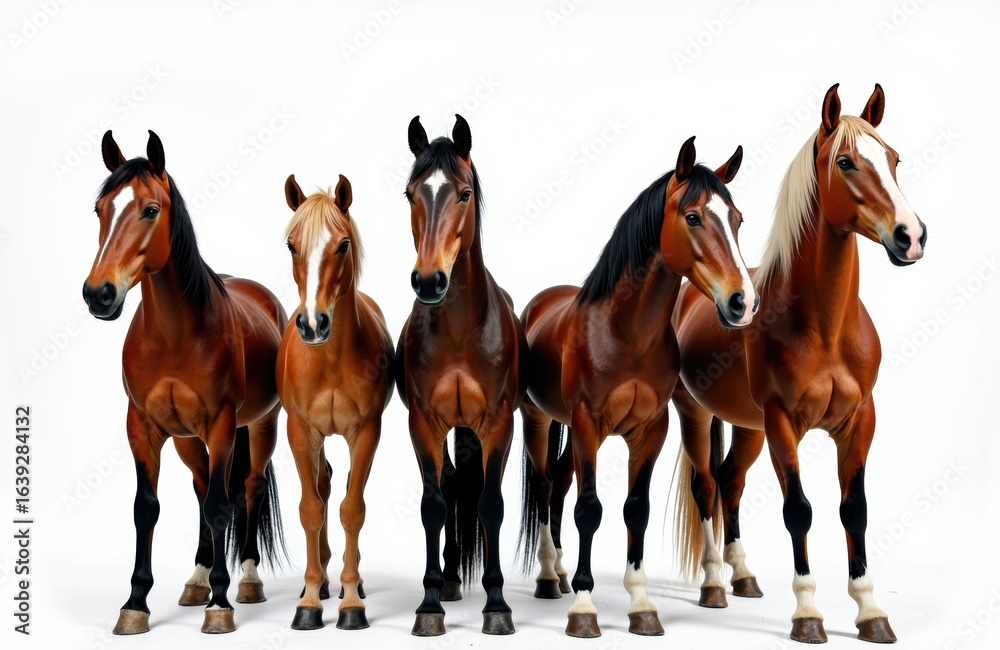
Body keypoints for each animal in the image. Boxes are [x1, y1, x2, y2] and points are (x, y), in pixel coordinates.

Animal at [82, 130, 287, 635]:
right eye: (100, 209)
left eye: (151, 209)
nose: (99, 294)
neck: (175, 337)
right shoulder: (143, 427)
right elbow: (148, 508)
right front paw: (136, 603)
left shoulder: (221, 424)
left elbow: (220, 507)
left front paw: (221, 603)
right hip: (188, 440)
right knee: (201, 490)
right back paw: (197, 579)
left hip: (260, 427)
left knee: (247, 490)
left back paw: (246, 579)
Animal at [275, 174, 394, 631]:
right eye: (291, 245)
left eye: (343, 244)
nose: (312, 324)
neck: (328, 359)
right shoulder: (300, 431)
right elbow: (312, 509)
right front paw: (309, 601)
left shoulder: (366, 432)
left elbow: (351, 510)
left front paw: (352, 602)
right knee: (323, 485)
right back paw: (324, 579)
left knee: (341, 492)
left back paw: (348, 580)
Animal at [394, 114, 527, 637]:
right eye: (411, 193)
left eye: (464, 193)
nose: (429, 280)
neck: (457, 332)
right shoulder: (423, 423)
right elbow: (433, 504)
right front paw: (429, 604)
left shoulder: (499, 423)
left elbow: (490, 504)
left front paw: (497, 604)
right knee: (450, 485)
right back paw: (449, 581)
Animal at [517, 136, 756, 638]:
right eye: (692, 217)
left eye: (737, 219)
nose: (742, 302)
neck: (625, 333)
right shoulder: (588, 424)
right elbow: (589, 509)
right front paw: (584, 608)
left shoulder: (650, 430)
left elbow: (635, 510)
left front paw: (642, 605)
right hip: (538, 420)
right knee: (547, 487)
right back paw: (550, 578)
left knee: (561, 480)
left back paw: (562, 573)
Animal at [670, 84, 926, 644]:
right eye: (846, 161)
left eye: (894, 159)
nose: (911, 236)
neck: (824, 329)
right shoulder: (783, 423)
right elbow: (799, 511)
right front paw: (808, 613)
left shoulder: (859, 421)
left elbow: (855, 509)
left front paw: (870, 611)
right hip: (697, 414)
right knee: (706, 485)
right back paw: (714, 583)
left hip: (748, 427)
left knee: (730, 481)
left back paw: (743, 576)